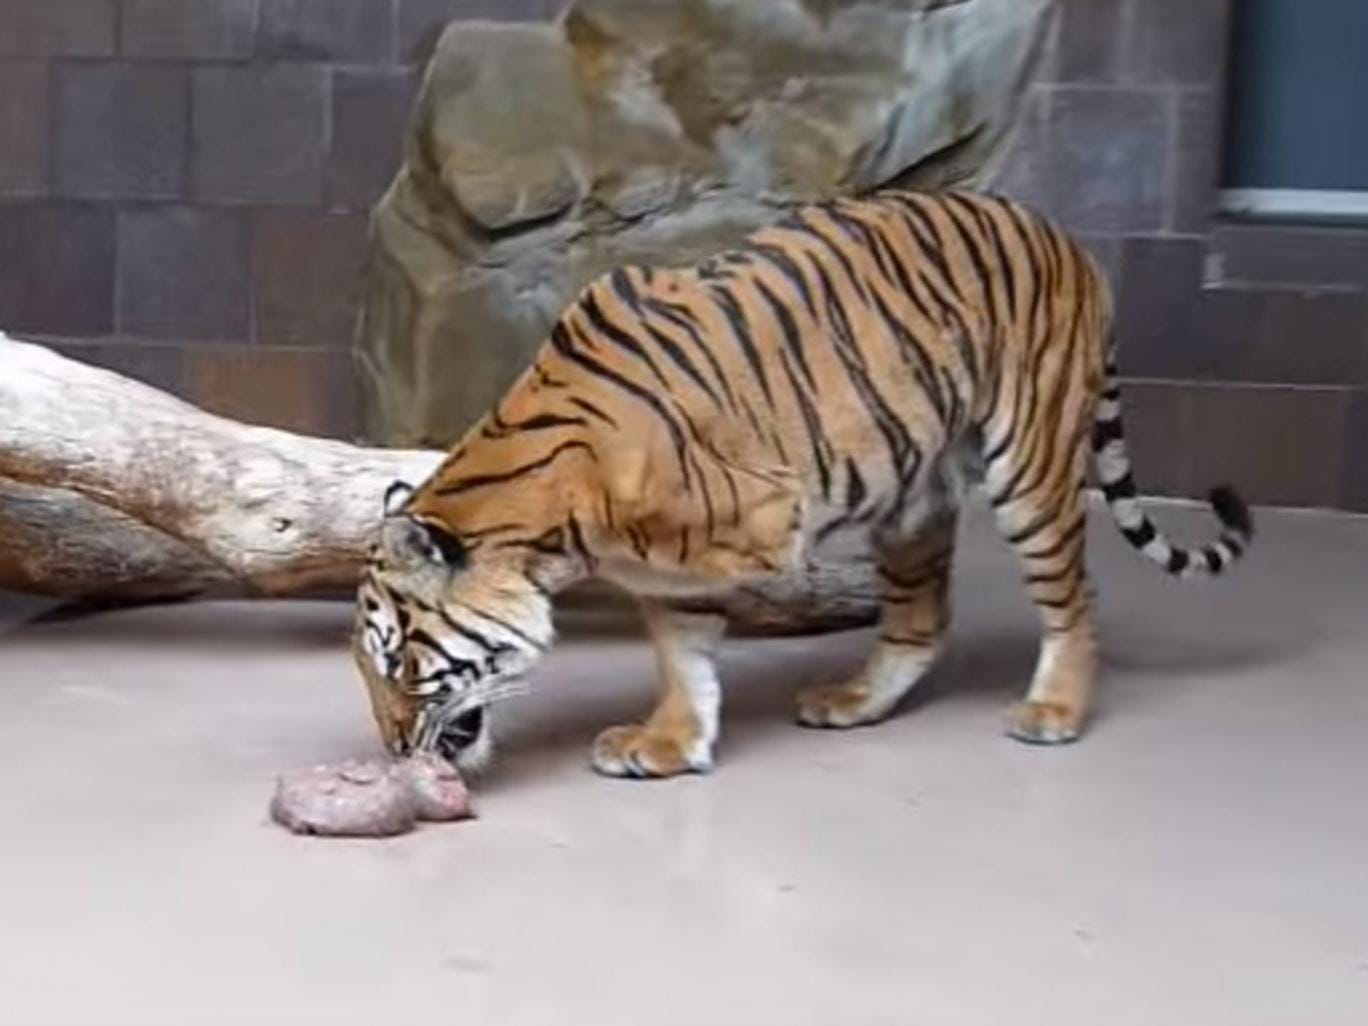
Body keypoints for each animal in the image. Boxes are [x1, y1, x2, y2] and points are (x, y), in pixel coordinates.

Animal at [352, 189, 1253, 778]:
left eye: (398, 661)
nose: (395, 754)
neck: (554, 518)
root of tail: (1068, 236)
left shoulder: (749, 522)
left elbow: (689, 628)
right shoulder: (669, 567)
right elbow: (682, 653)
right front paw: (670, 743)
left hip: (1027, 465)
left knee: (1073, 596)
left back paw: (1054, 711)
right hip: (914, 491)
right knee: (922, 620)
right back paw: (853, 701)